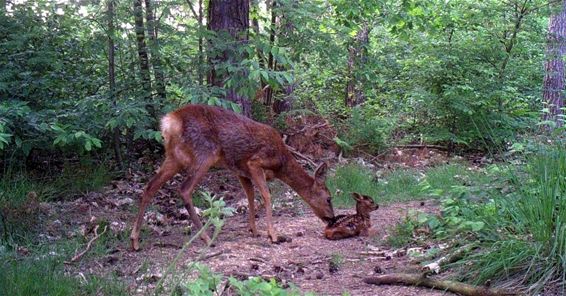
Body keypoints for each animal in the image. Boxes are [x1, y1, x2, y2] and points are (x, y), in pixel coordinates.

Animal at [132, 104, 338, 250]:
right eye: (328, 198)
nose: (333, 219)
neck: (281, 163)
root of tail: (170, 122)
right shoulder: (255, 162)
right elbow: (266, 195)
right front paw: (273, 235)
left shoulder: (241, 171)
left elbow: (250, 196)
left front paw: (254, 230)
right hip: (204, 153)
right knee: (184, 189)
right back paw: (207, 238)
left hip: (174, 157)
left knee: (150, 186)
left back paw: (134, 240)